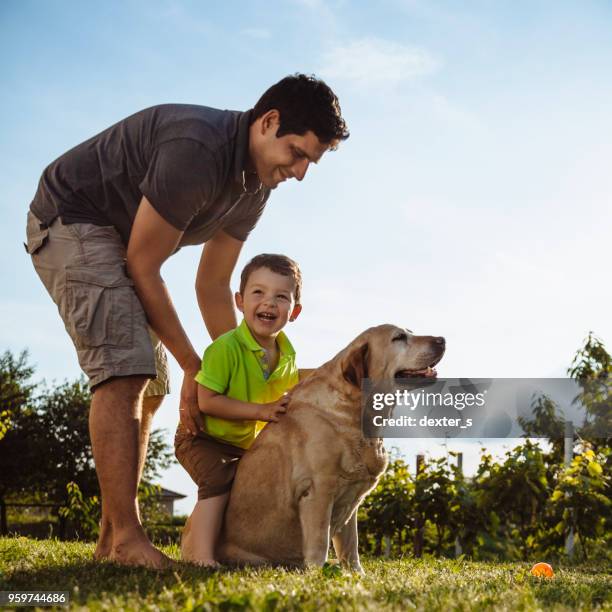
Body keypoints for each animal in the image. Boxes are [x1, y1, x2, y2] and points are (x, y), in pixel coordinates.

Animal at [194, 328, 442, 572]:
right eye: (399, 337)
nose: (442, 339)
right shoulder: (318, 490)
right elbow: (320, 541)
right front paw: (317, 574)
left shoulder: (352, 497)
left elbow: (351, 545)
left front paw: (356, 574)